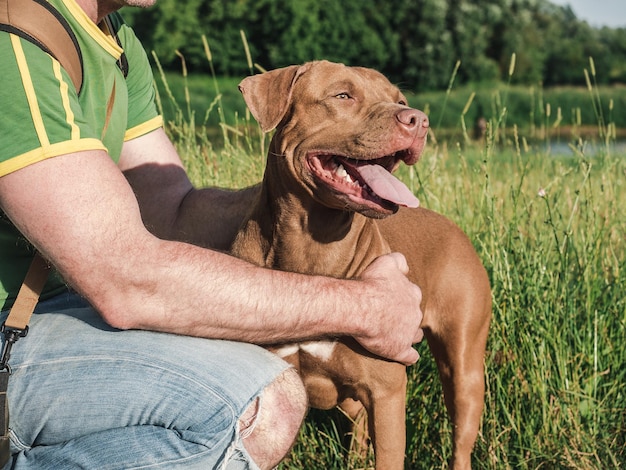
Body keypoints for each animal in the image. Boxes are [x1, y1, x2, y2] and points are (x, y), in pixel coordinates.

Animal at [232, 60, 490, 468]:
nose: (419, 120)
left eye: (400, 100)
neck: (314, 250)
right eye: (343, 95)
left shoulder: (387, 393)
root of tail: (453, 226)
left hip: (464, 367)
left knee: (461, 435)